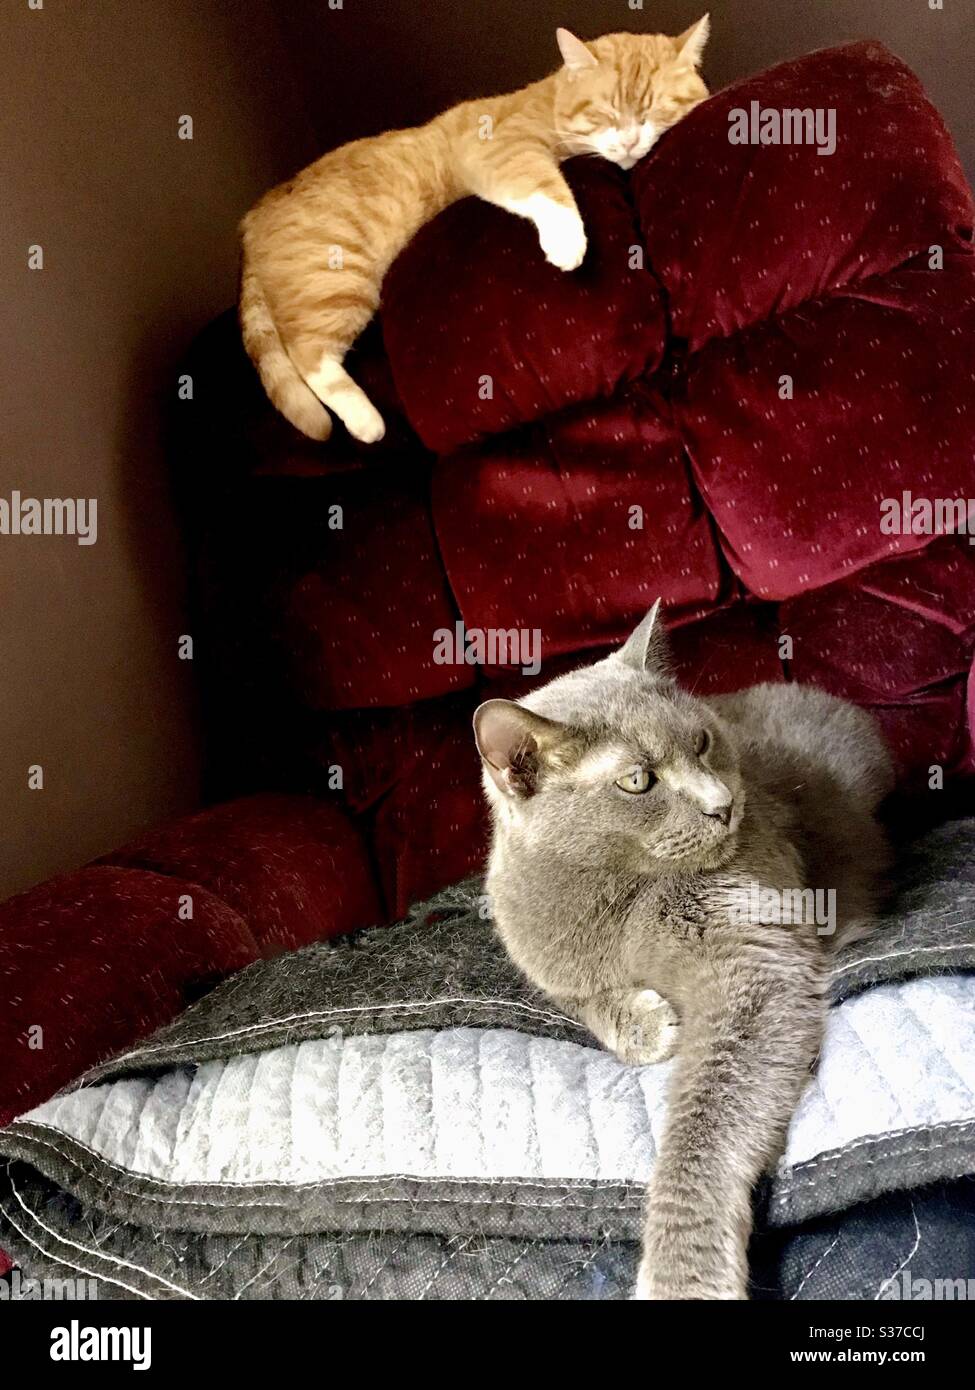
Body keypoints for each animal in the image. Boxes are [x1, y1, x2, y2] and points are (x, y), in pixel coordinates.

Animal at [237, 21, 706, 444]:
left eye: (653, 111)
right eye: (606, 112)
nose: (629, 143)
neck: (551, 97)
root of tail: (256, 214)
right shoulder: (499, 148)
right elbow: (545, 186)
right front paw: (565, 239)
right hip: (336, 278)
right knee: (306, 353)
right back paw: (365, 421)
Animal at [472, 603, 890, 1295]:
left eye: (701, 742)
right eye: (639, 780)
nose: (723, 805)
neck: (617, 895)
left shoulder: (756, 960)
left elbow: (706, 1120)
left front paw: (682, 1278)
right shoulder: (543, 957)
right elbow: (581, 996)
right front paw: (642, 1023)